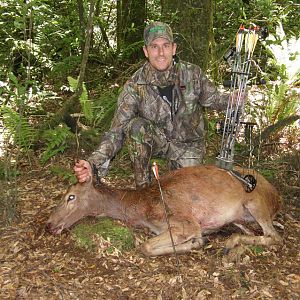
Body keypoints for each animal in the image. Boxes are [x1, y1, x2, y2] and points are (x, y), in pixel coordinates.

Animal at [45, 165, 282, 256]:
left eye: (71, 196)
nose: (48, 225)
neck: (141, 208)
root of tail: (277, 197)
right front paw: (197, 242)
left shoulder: (186, 222)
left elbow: (145, 247)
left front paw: (194, 243)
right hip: (240, 217)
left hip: (255, 202)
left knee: (274, 236)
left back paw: (230, 242)